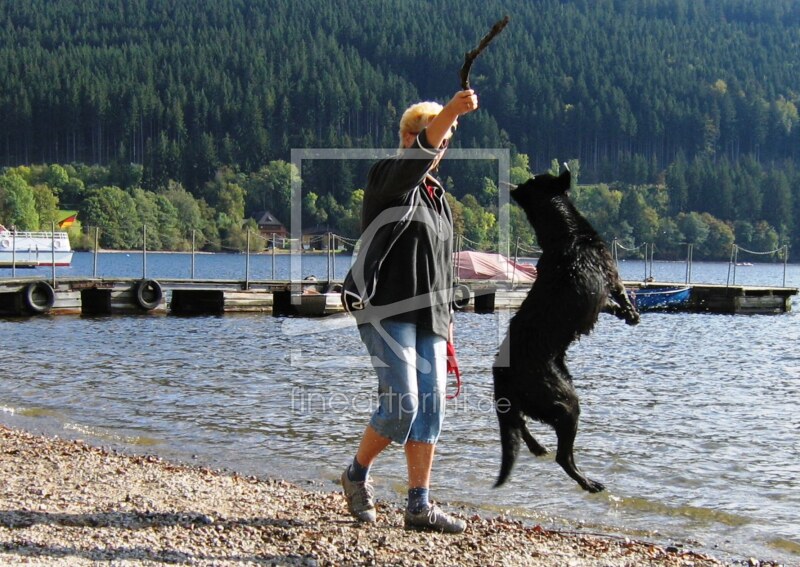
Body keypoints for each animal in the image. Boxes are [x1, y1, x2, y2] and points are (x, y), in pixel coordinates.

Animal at [490, 165, 640, 492]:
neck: (565, 234)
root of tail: (501, 370)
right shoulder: (610, 276)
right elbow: (620, 296)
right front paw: (631, 313)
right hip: (567, 402)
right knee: (563, 456)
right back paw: (588, 482)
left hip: (524, 400)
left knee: (519, 423)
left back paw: (536, 447)